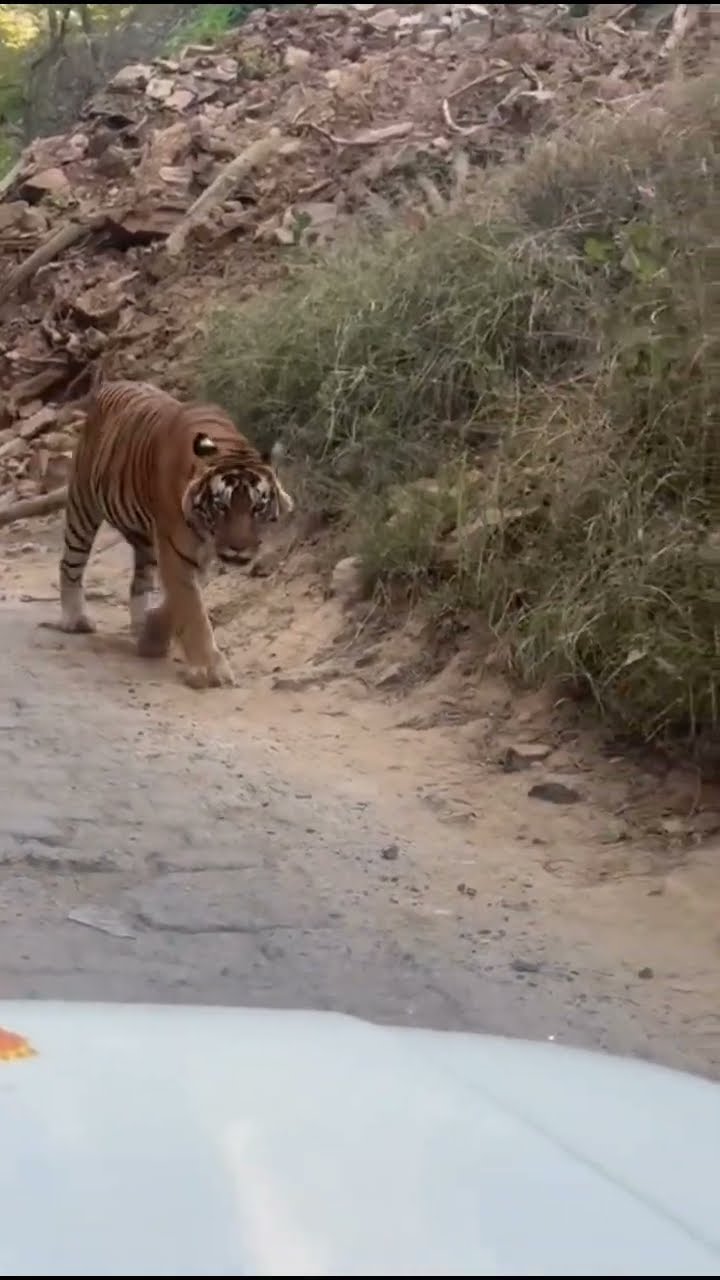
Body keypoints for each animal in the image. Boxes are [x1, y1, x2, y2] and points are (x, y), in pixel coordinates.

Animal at [54, 375, 294, 689]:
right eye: (222, 506)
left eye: (258, 507)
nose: (238, 548)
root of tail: (109, 385)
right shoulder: (177, 550)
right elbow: (192, 610)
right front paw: (209, 670)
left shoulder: (192, 556)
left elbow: (179, 602)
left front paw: (153, 635)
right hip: (83, 506)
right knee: (70, 563)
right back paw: (75, 619)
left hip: (145, 542)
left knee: (140, 582)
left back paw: (139, 624)